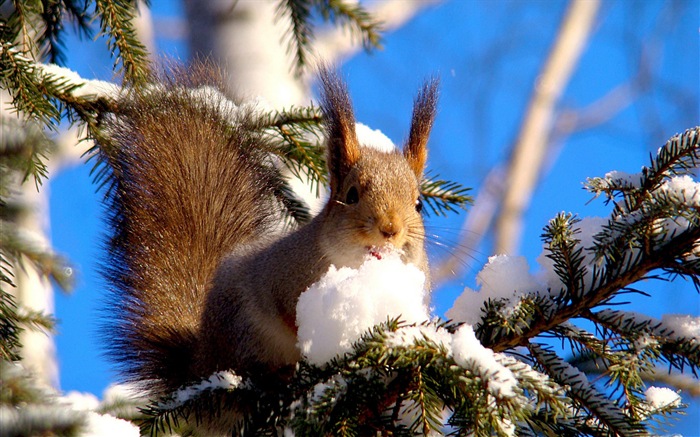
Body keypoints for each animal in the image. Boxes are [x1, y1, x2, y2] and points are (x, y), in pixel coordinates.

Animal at [100, 64, 438, 416]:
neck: (359, 266)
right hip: (244, 334)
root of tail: (202, 360)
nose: (390, 229)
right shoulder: (281, 277)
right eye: (352, 194)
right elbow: (289, 316)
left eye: (418, 204)